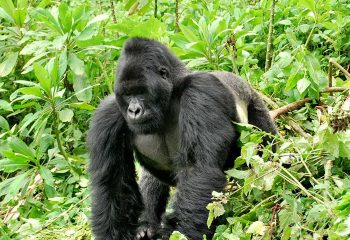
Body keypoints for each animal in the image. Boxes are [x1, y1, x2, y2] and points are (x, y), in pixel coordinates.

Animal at [87, 37, 276, 240]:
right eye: (128, 94)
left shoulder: (200, 90)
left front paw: (182, 232)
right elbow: (113, 184)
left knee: (266, 148)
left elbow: (198, 168)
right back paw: (147, 223)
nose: (134, 110)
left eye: (141, 92)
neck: (170, 94)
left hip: (254, 102)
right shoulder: (108, 114)